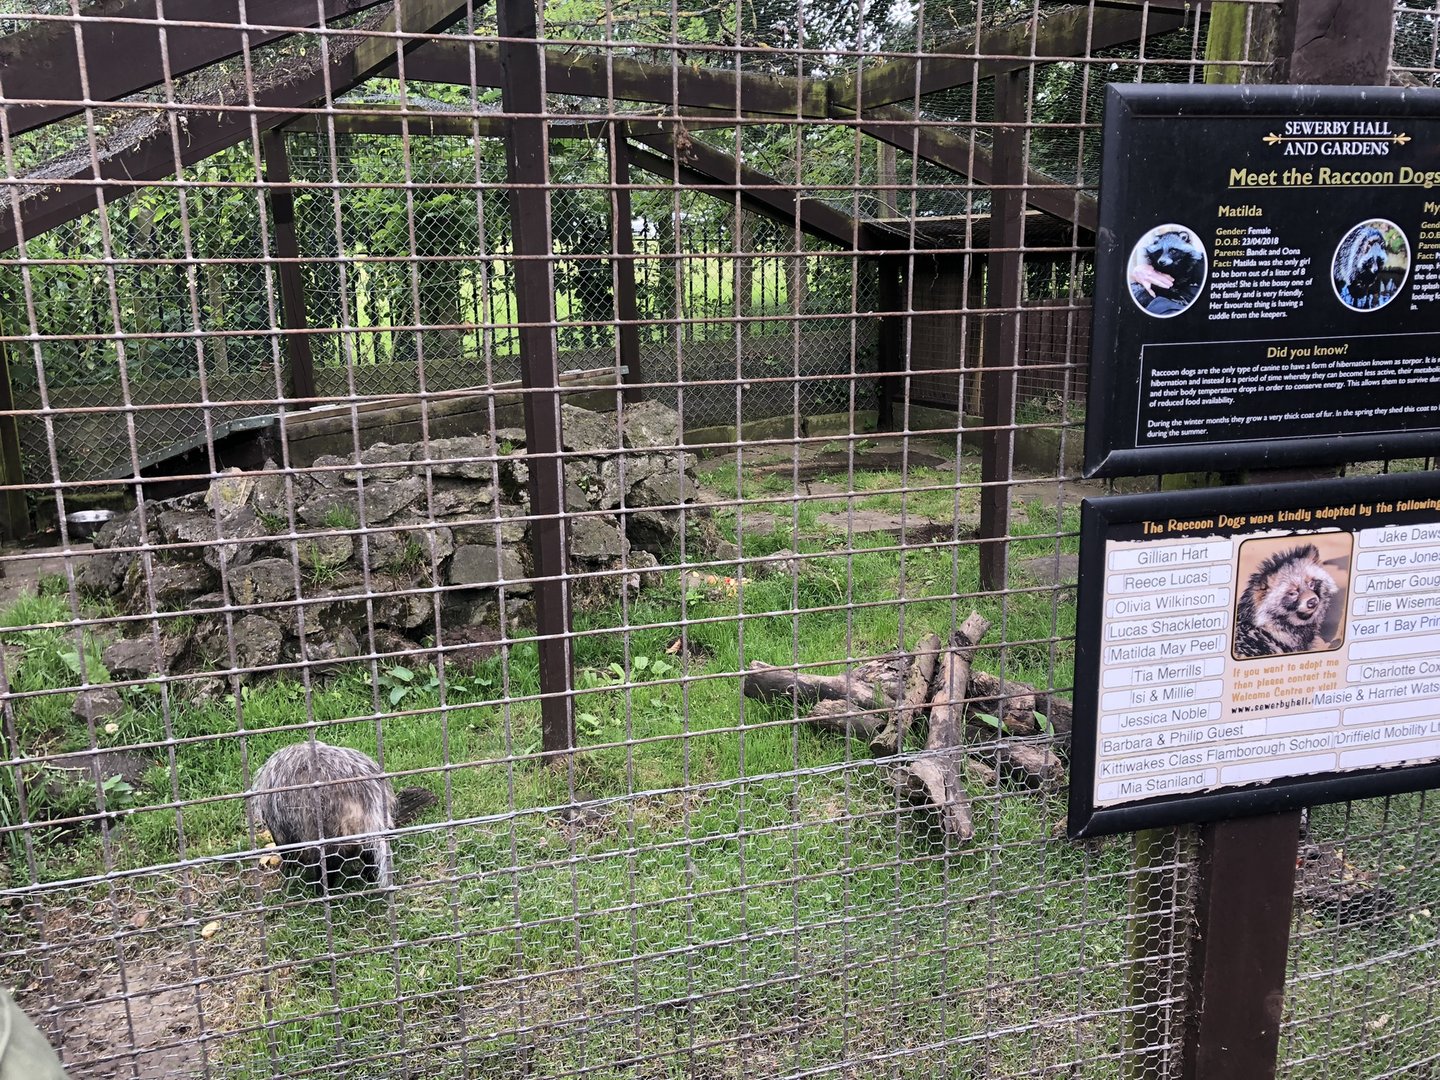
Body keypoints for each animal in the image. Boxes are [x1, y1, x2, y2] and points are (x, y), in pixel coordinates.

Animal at [248, 742, 436, 892]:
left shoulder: (282, 820)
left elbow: (288, 845)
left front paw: (289, 867)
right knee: (370, 852)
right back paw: (369, 874)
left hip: (327, 825)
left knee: (327, 859)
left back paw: (322, 889)